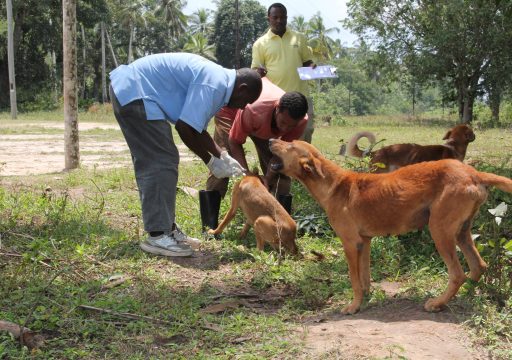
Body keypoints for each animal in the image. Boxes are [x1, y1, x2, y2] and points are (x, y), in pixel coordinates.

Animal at [270, 139, 510, 314]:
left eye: (290, 145)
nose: (271, 139)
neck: (334, 185)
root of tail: (473, 173)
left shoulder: (350, 243)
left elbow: (354, 279)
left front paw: (353, 307)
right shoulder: (364, 242)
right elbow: (365, 278)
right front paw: (365, 299)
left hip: (440, 231)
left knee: (458, 274)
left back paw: (437, 303)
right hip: (461, 232)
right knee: (478, 266)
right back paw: (465, 295)